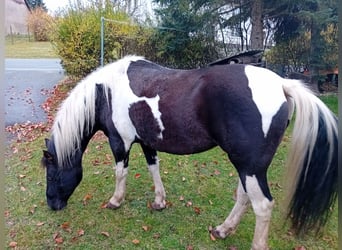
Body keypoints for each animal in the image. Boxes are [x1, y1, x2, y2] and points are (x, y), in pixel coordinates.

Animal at [42, 55, 336, 249]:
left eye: (52, 174)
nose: (52, 205)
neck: (105, 92)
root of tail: (282, 84)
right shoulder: (147, 141)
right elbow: (153, 168)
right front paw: (159, 201)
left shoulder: (120, 142)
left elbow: (120, 173)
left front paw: (115, 201)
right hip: (247, 165)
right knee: (244, 196)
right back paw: (223, 230)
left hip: (250, 166)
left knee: (262, 205)